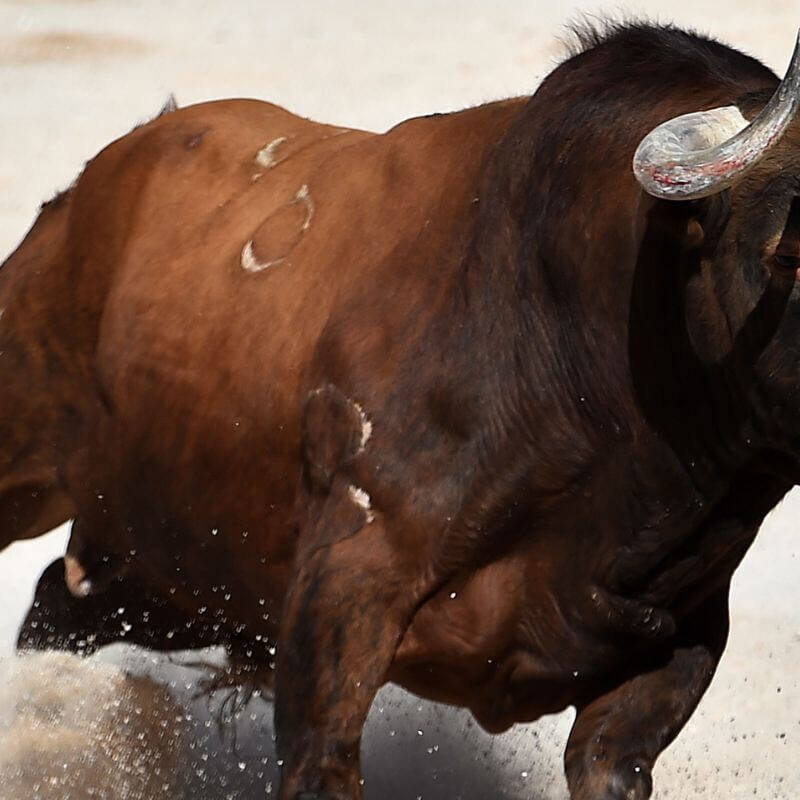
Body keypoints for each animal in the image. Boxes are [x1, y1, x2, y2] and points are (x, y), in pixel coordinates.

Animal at [4, 20, 800, 800]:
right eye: (787, 252)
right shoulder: (346, 585)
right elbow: (321, 765)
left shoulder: (669, 657)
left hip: (167, 573)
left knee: (54, 605)